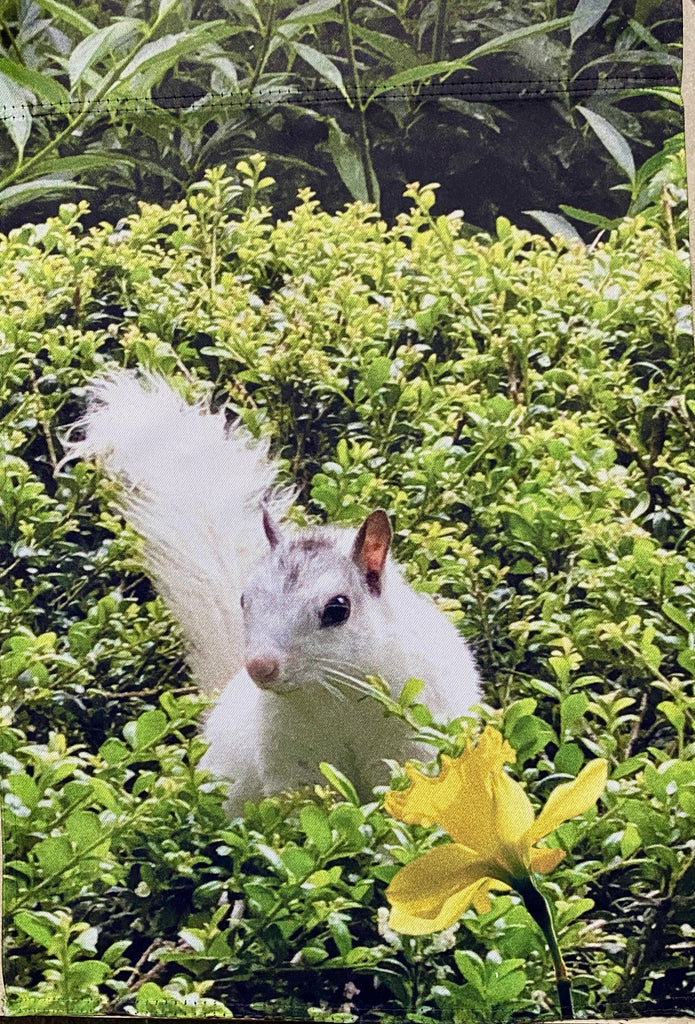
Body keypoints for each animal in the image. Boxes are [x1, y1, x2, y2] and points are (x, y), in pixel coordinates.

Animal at [69, 372, 483, 811]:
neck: (337, 693)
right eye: (243, 599)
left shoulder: (413, 743)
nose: (260, 667)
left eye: (338, 609)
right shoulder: (293, 764)